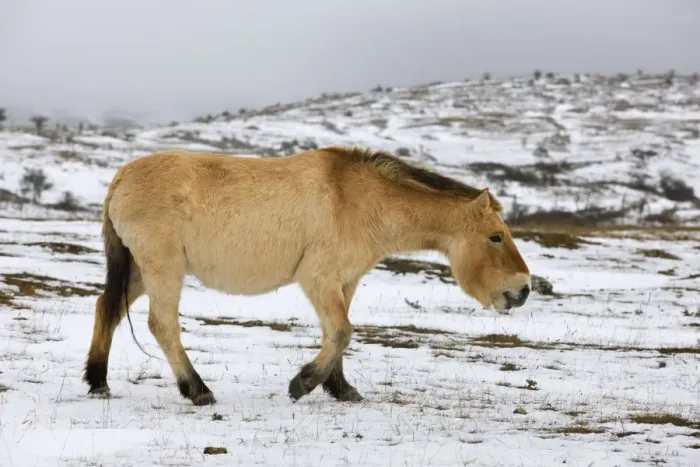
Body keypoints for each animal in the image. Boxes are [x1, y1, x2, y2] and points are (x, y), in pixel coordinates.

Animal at [83, 146, 531, 406]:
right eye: (496, 236)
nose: (523, 290)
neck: (359, 199)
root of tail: (120, 177)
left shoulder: (344, 281)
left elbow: (337, 334)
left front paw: (341, 389)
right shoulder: (318, 278)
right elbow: (342, 332)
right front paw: (303, 383)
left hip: (141, 271)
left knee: (107, 309)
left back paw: (98, 381)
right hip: (163, 269)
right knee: (162, 325)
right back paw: (198, 390)